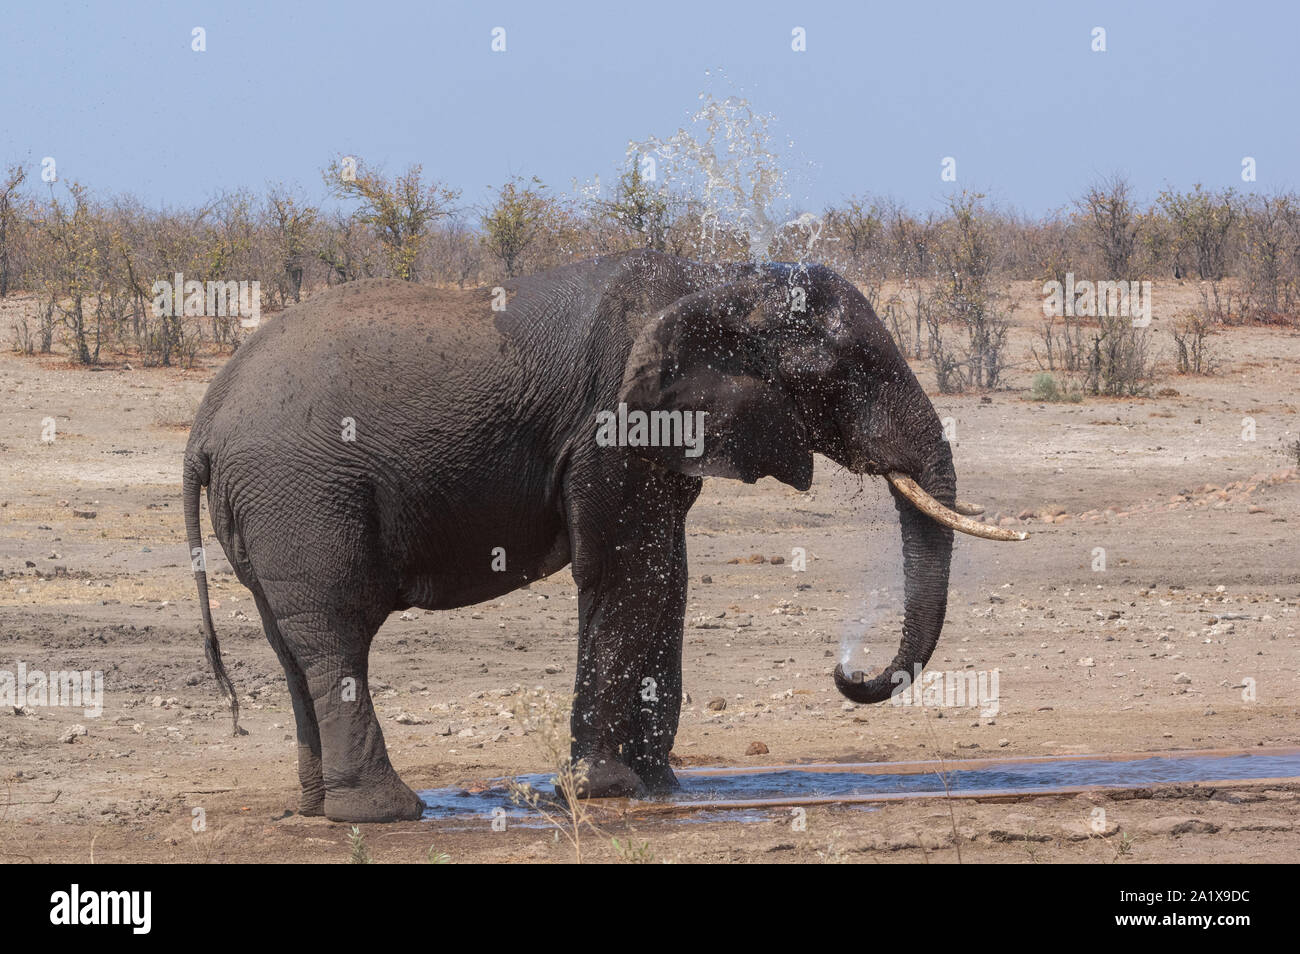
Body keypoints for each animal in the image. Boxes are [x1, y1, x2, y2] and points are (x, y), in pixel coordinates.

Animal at [183, 250, 1024, 826]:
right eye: (839, 371)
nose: (847, 671)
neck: (716, 278)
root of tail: (206, 421)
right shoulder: (612, 423)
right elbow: (626, 574)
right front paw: (606, 791)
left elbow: (664, 576)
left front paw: (658, 789)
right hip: (302, 495)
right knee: (335, 633)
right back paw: (389, 812)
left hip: (272, 508)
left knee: (294, 642)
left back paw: (318, 809)